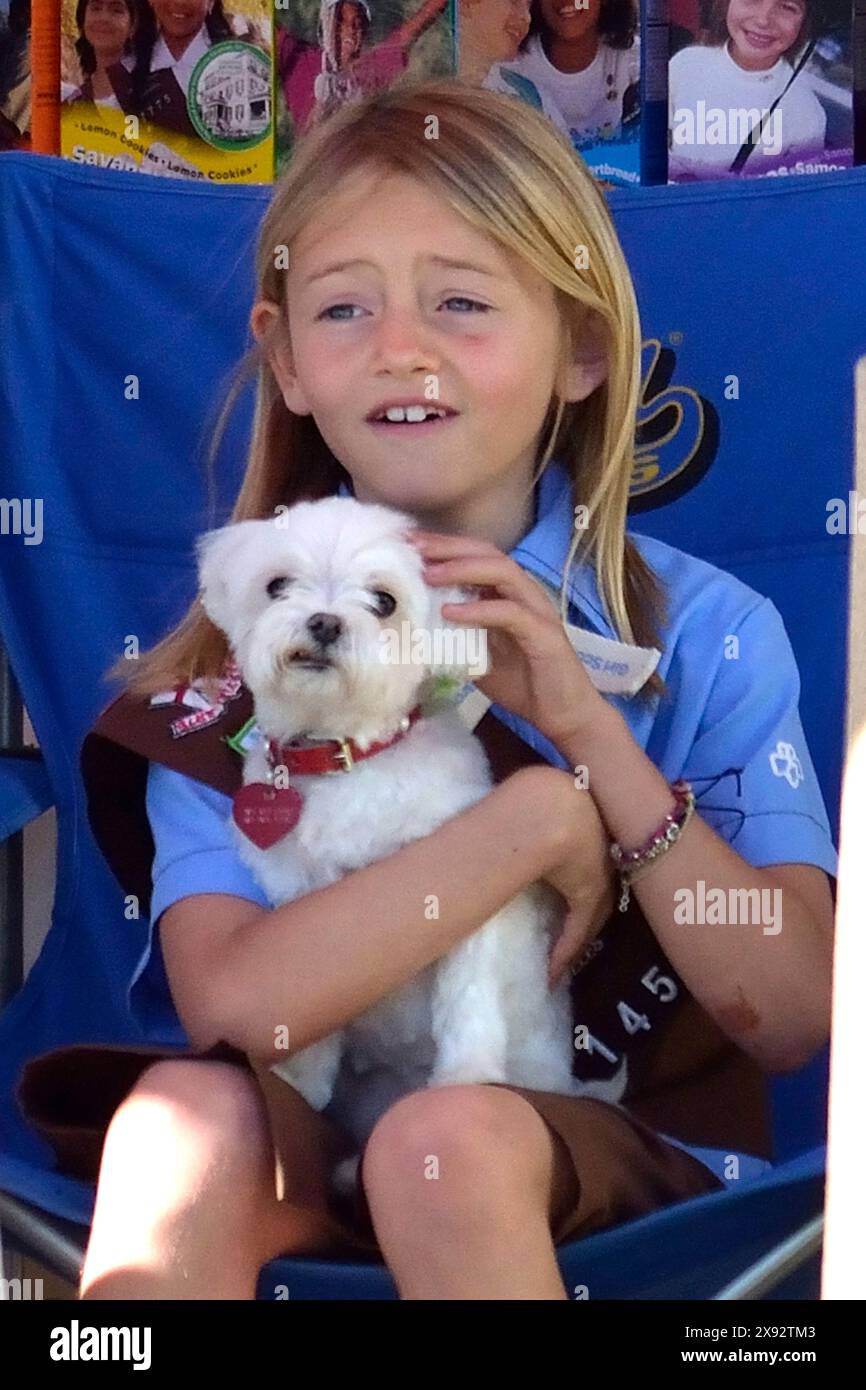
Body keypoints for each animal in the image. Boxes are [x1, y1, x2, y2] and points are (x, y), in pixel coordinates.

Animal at [195, 494, 622, 1178]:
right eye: (277, 585)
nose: (323, 622)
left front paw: (466, 1077)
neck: (349, 758)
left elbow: (467, 998)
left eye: (384, 601)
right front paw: (299, 1077)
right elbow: (314, 1013)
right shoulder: (303, 904)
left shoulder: (473, 896)